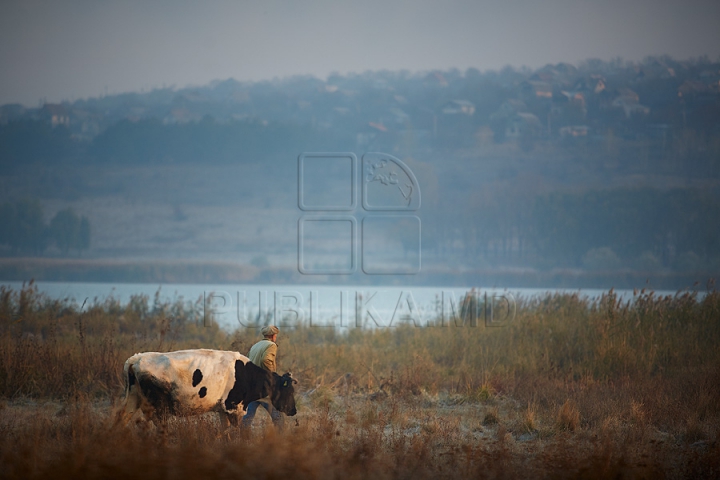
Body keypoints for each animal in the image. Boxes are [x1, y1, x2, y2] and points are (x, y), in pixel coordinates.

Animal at [116, 348, 296, 428]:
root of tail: (135, 359)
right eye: (290, 391)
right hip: (158, 407)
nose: (294, 410)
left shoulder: (223, 410)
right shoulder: (233, 407)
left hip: (133, 399)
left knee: (121, 420)